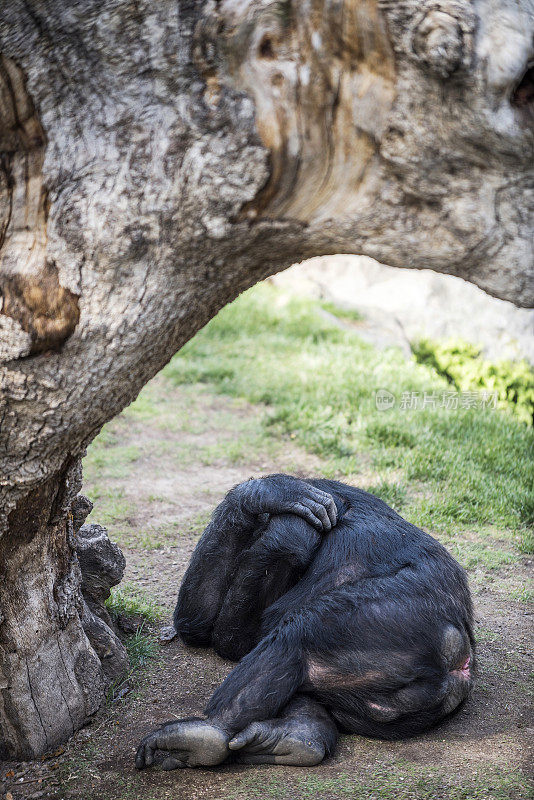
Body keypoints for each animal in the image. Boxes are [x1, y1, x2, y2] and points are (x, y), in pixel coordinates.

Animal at [136, 476, 476, 768]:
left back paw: (208, 735)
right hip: (382, 704)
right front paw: (271, 492)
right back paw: (298, 738)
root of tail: (458, 666)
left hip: (388, 619)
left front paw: (268, 493)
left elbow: (209, 628)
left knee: (297, 637)